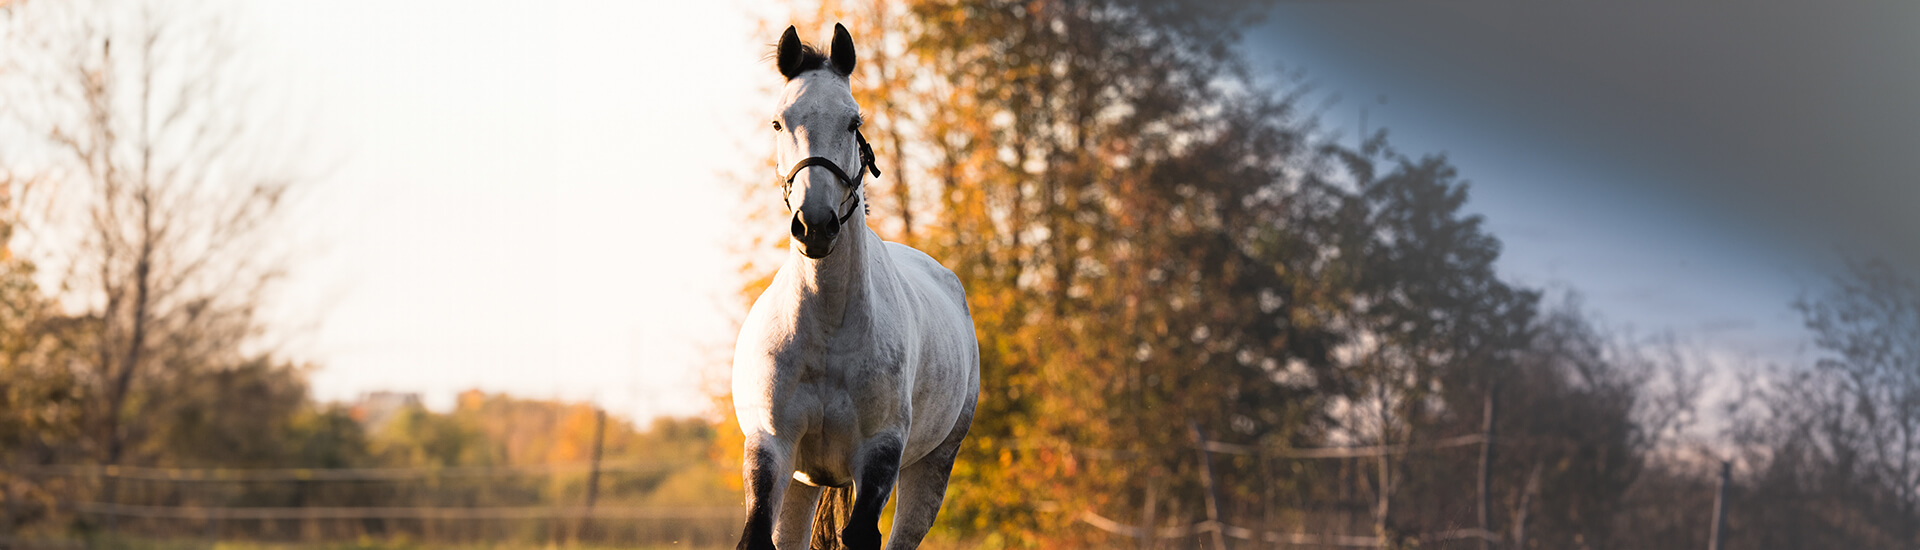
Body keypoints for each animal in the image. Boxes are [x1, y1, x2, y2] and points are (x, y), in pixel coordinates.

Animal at [729, 23, 983, 550]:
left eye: (853, 121)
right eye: (779, 123)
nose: (815, 225)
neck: (827, 331)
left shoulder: (879, 454)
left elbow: (861, 534)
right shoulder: (771, 445)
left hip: (933, 467)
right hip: (801, 483)